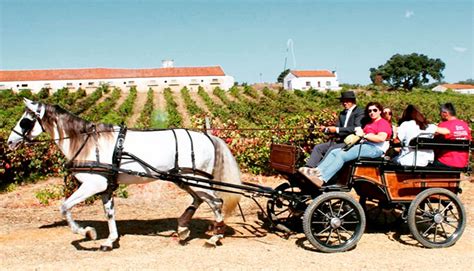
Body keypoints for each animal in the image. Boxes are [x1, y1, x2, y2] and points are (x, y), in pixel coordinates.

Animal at [8, 99, 241, 252]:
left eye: (25, 121)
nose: (10, 142)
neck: (87, 142)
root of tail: (209, 137)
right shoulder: (106, 187)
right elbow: (109, 213)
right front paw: (109, 241)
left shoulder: (93, 185)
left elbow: (65, 207)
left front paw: (87, 232)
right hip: (184, 179)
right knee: (199, 200)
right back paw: (183, 228)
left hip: (197, 180)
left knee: (217, 202)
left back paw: (214, 237)